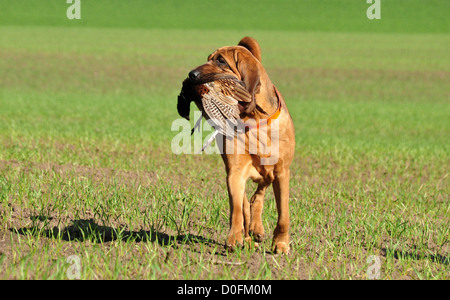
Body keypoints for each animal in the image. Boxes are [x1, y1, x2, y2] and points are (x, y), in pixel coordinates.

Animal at [178, 37, 298, 253]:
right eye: (208, 58)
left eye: (221, 61)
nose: (191, 75)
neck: (255, 117)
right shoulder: (235, 171)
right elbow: (236, 209)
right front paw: (235, 238)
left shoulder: (282, 172)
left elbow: (283, 213)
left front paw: (281, 243)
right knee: (246, 203)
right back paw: (249, 234)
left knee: (259, 193)